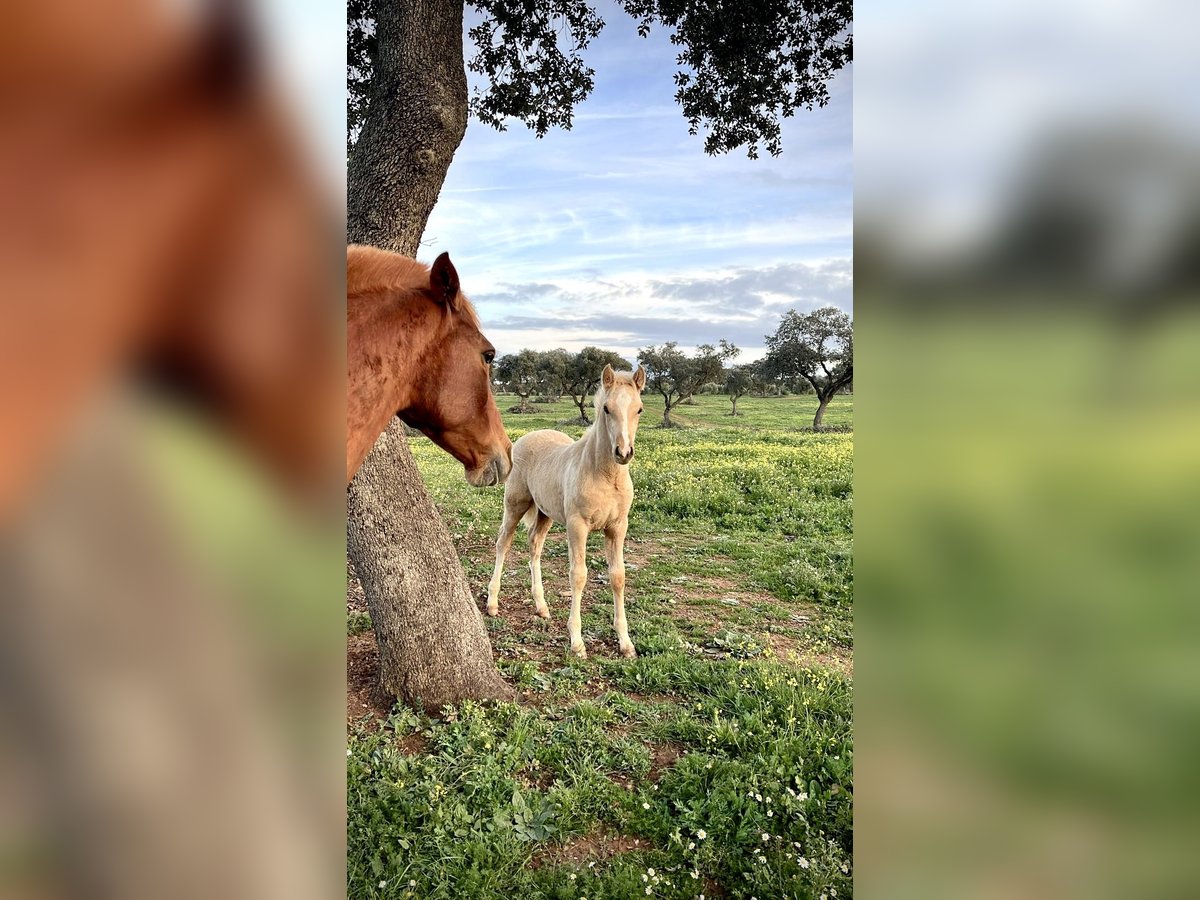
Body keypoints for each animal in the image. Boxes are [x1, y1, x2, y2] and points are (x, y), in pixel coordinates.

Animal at [487, 362, 648, 657]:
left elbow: (618, 576)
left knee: (534, 545)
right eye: (606, 408)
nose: (623, 452)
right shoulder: (577, 525)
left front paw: (626, 642)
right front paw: (577, 642)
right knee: (503, 542)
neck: (605, 476)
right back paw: (492, 602)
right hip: (515, 504)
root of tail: (527, 437)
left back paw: (541, 606)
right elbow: (578, 575)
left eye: (639, 409)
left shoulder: (618, 527)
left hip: (545, 514)